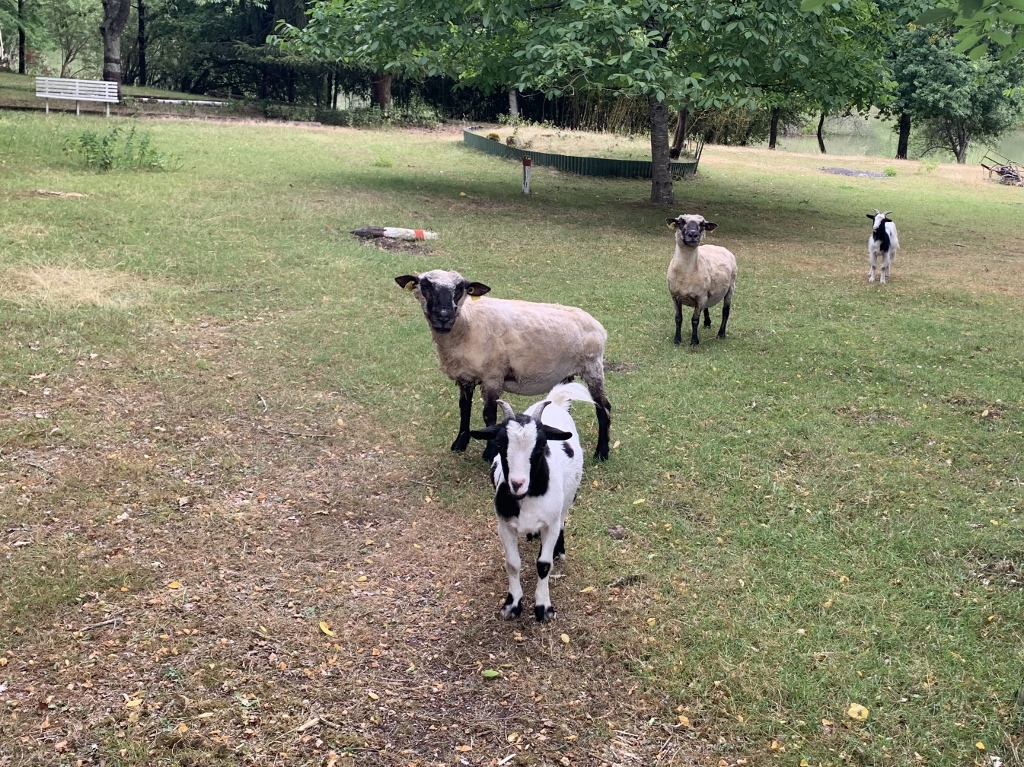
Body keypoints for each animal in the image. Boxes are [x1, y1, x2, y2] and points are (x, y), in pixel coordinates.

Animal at [394, 270, 612, 461]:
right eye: (425, 286)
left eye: (460, 289)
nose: (443, 316)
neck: (466, 325)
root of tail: (599, 326)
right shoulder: (465, 376)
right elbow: (464, 408)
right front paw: (460, 443)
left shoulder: (493, 376)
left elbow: (489, 415)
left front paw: (490, 453)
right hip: (566, 373)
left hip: (592, 367)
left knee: (603, 408)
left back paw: (602, 453)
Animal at [469, 382, 592, 621]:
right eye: (500, 443)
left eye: (542, 444)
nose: (517, 484)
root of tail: (555, 402)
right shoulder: (504, 526)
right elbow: (513, 564)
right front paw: (512, 605)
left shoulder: (550, 524)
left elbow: (544, 564)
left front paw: (543, 607)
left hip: (567, 500)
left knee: (563, 521)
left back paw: (559, 550)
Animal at [666, 214, 738, 346]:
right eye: (680, 222)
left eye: (703, 224)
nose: (693, 234)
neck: (686, 273)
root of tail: (719, 247)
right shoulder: (675, 296)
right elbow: (678, 319)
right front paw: (677, 340)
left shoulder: (700, 298)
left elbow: (694, 320)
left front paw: (694, 341)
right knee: (707, 307)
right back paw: (707, 323)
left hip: (731, 287)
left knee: (725, 311)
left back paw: (721, 334)